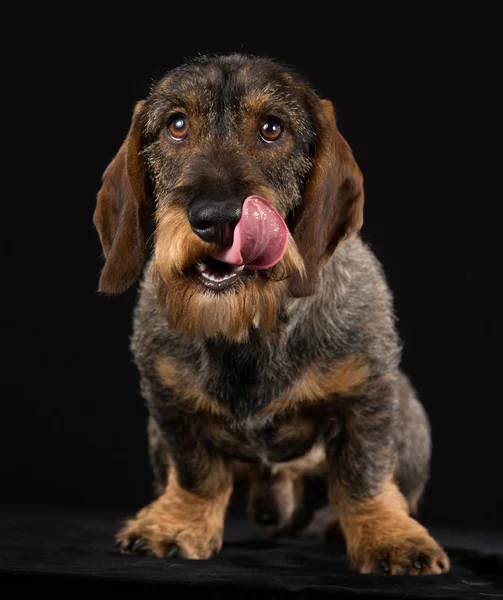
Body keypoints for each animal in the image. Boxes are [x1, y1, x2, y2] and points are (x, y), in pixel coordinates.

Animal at [93, 54, 448, 576]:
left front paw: (386, 534)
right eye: (177, 125)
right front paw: (178, 522)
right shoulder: (169, 403)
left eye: (272, 128)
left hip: (413, 420)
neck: (251, 326)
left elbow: (362, 472)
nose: (217, 218)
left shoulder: (368, 392)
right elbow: (196, 470)